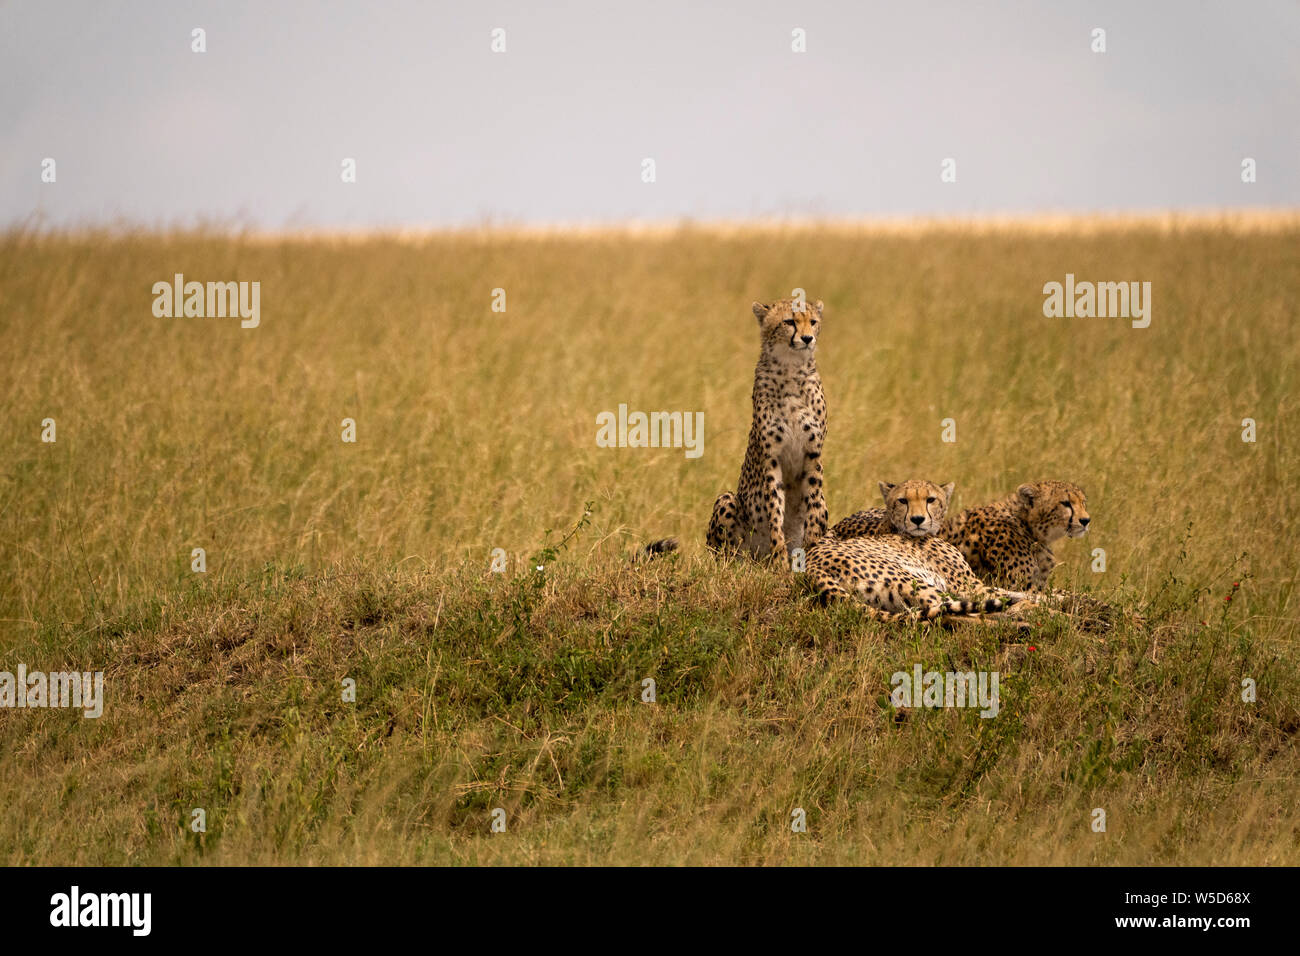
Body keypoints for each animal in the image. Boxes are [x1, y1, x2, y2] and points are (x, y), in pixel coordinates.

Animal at [707, 299, 826, 561]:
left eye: (813, 321)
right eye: (789, 321)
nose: (807, 338)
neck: (791, 369)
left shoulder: (813, 454)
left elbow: (813, 507)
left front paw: (813, 548)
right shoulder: (771, 458)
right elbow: (774, 510)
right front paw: (780, 558)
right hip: (727, 500)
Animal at [800, 478, 1024, 621]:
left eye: (931, 500)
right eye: (903, 501)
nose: (917, 519)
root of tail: (810, 567)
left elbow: (1016, 592)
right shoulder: (967, 585)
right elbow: (1014, 594)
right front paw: (1028, 604)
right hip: (915, 582)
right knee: (961, 608)